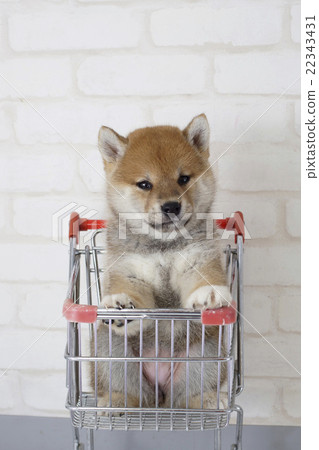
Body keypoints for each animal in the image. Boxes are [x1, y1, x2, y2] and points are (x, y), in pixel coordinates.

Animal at [91, 114, 231, 414]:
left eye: (183, 178)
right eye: (145, 184)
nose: (171, 206)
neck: (163, 246)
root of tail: (160, 400)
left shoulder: (199, 258)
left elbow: (204, 278)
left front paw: (209, 293)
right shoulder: (129, 273)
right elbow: (132, 293)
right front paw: (121, 304)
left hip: (206, 354)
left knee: (187, 396)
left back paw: (206, 400)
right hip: (111, 351)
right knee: (132, 395)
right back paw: (115, 401)